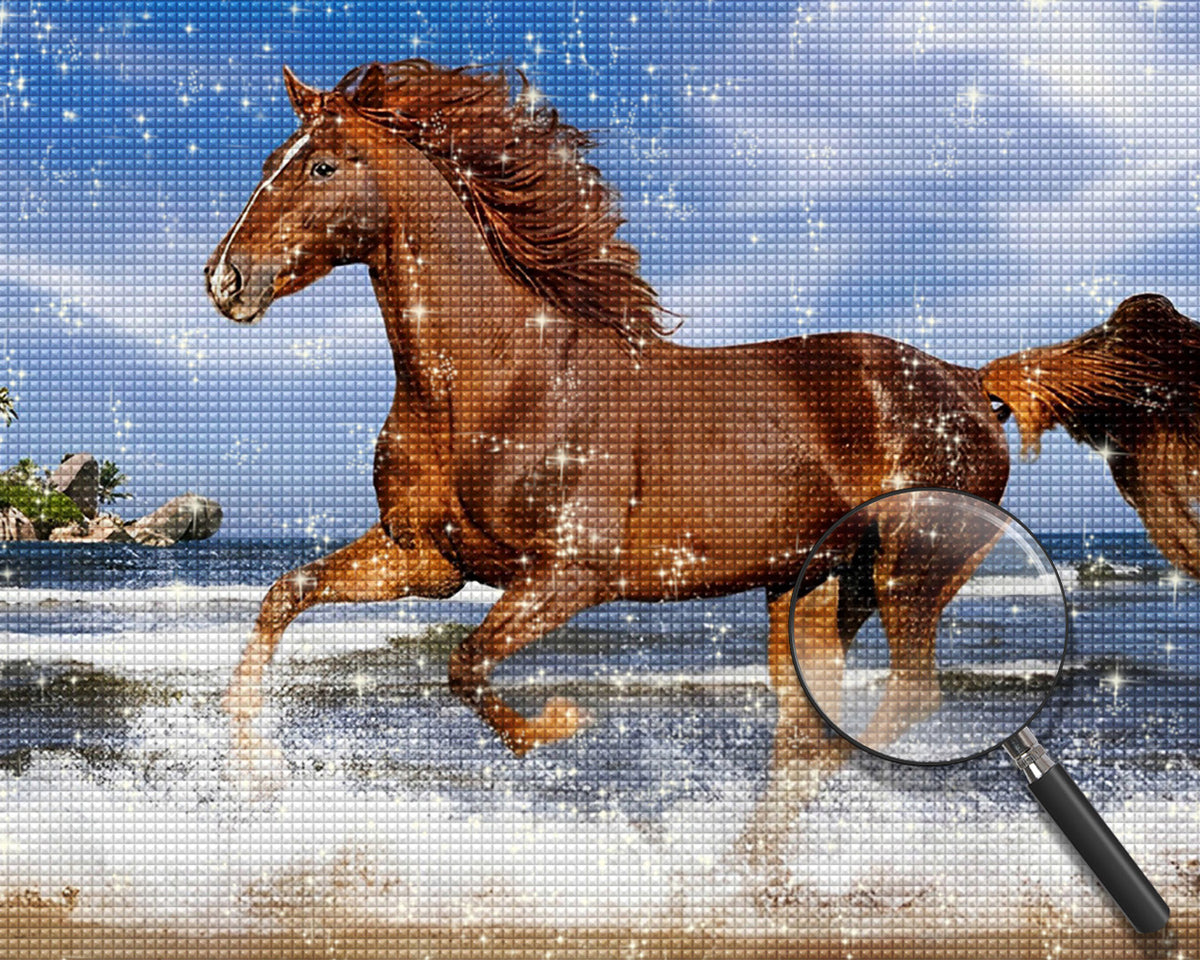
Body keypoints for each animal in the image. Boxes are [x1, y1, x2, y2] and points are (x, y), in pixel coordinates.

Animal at [205, 59, 1200, 821]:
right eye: (271, 159)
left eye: (323, 166)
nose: (225, 279)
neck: (494, 377)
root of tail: (968, 379)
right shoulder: (427, 559)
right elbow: (283, 597)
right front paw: (254, 766)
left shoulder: (571, 574)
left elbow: (465, 664)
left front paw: (559, 727)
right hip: (812, 593)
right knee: (809, 723)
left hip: (913, 571)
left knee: (904, 698)